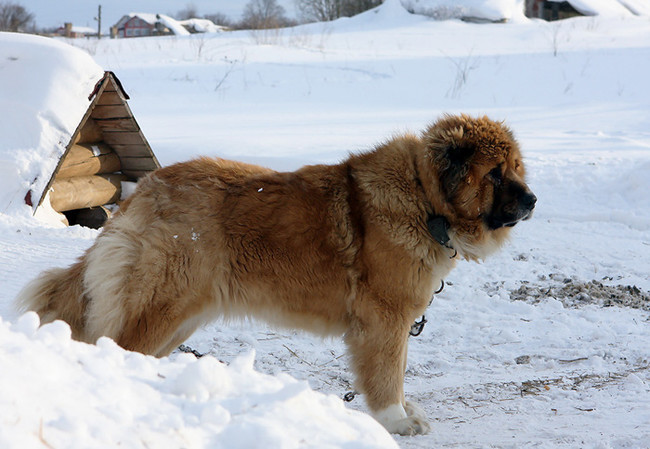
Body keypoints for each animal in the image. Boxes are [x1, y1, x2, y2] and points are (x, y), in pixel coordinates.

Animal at [16, 114, 532, 434]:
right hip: (164, 305)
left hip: (181, 316)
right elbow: (389, 374)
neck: (426, 198)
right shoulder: (384, 319)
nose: (532, 200)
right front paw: (396, 420)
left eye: (516, 168)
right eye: (495, 173)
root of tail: (146, 189)